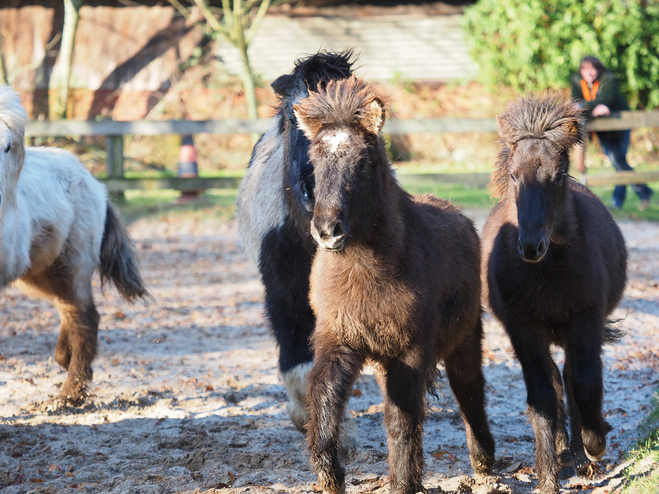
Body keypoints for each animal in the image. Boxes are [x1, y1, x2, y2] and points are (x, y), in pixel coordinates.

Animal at [296, 75, 496, 492]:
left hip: (465, 338)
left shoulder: (410, 350)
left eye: (364, 162)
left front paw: (405, 481)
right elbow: (324, 396)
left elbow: (401, 419)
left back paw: (484, 465)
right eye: (314, 162)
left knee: (470, 393)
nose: (327, 231)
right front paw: (329, 474)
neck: (363, 273)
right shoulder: (340, 338)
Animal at [480, 95, 628, 494]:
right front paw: (547, 474)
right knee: (557, 383)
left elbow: (586, 383)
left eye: (558, 175)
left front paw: (594, 445)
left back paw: (581, 453)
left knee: (571, 379)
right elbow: (543, 397)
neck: (547, 275)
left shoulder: (586, 320)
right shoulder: (524, 330)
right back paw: (563, 453)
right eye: (514, 176)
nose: (531, 246)